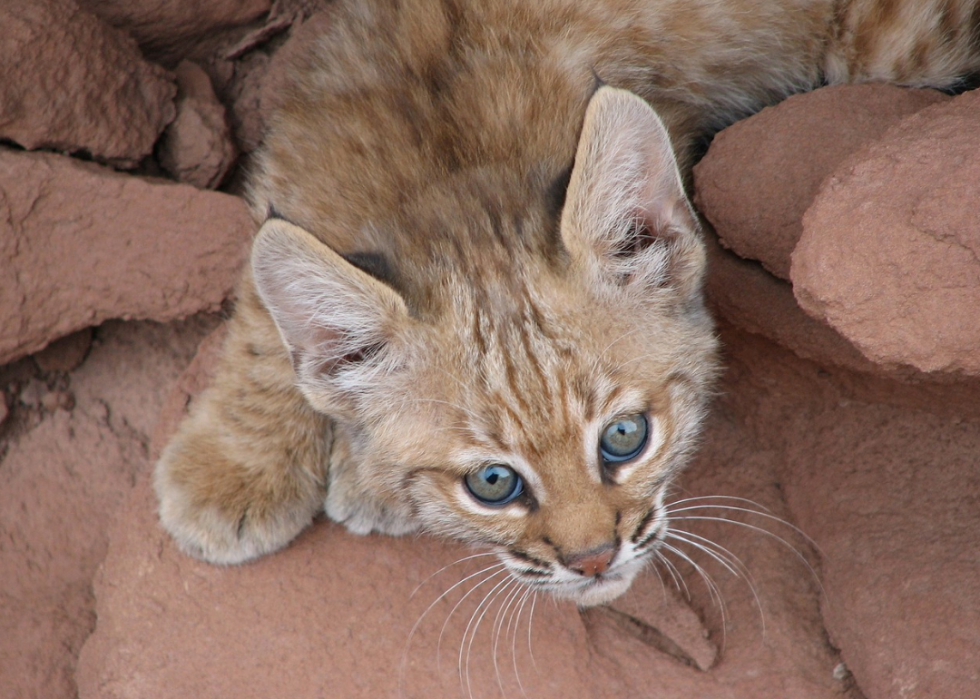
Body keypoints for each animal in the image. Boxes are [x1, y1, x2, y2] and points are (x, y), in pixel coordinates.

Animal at [157, 0, 980, 608]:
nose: (593, 561)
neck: (448, 164)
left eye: (624, 436)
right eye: (493, 483)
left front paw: (353, 478)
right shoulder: (295, 156)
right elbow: (263, 305)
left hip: (900, 47)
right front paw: (233, 467)